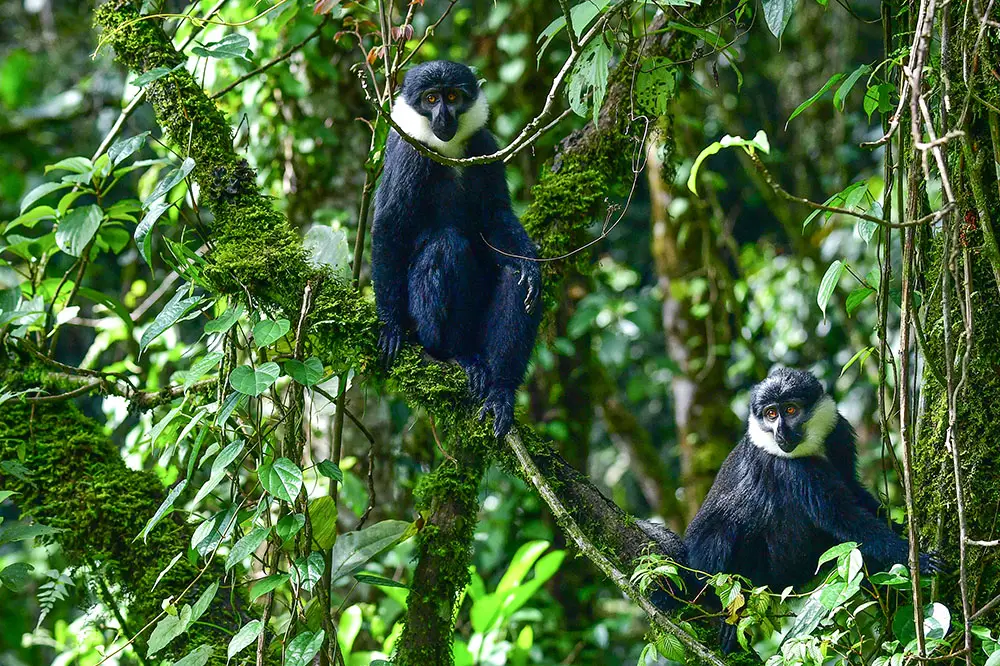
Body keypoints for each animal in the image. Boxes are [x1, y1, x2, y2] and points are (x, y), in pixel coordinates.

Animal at [370, 59, 540, 438]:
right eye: (431, 99)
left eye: (452, 97)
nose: (443, 117)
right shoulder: (409, 154)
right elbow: (391, 226)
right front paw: (390, 325)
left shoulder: (484, 146)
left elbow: (495, 217)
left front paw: (530, 265)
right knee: (446, 245)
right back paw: (454, 354)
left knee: (512, 277)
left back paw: (500, 390)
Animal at [684, 366, 940, 652]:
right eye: (771, 414)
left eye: (790, 410)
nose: (781, 433)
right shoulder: (794, 469)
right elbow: (842, 517)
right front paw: (914, 557)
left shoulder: (838, 432)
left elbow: (853, 488)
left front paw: (902, 527)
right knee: (723, 531)